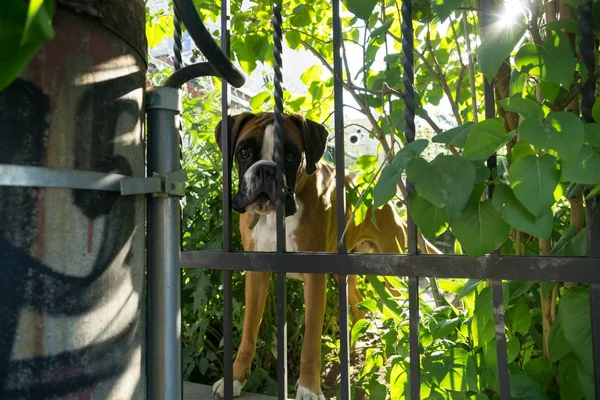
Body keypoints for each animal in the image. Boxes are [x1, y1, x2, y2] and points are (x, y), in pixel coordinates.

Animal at [211, 111, 412, 398]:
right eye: (244, 152)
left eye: (290, 156)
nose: (266, 169)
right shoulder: (256, 273)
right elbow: (249, 332)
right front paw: (235, 379)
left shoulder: (315, 279)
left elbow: (310, 343)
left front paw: (308, 388)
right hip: (345, 276)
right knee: (359, 308)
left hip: (392, 279)